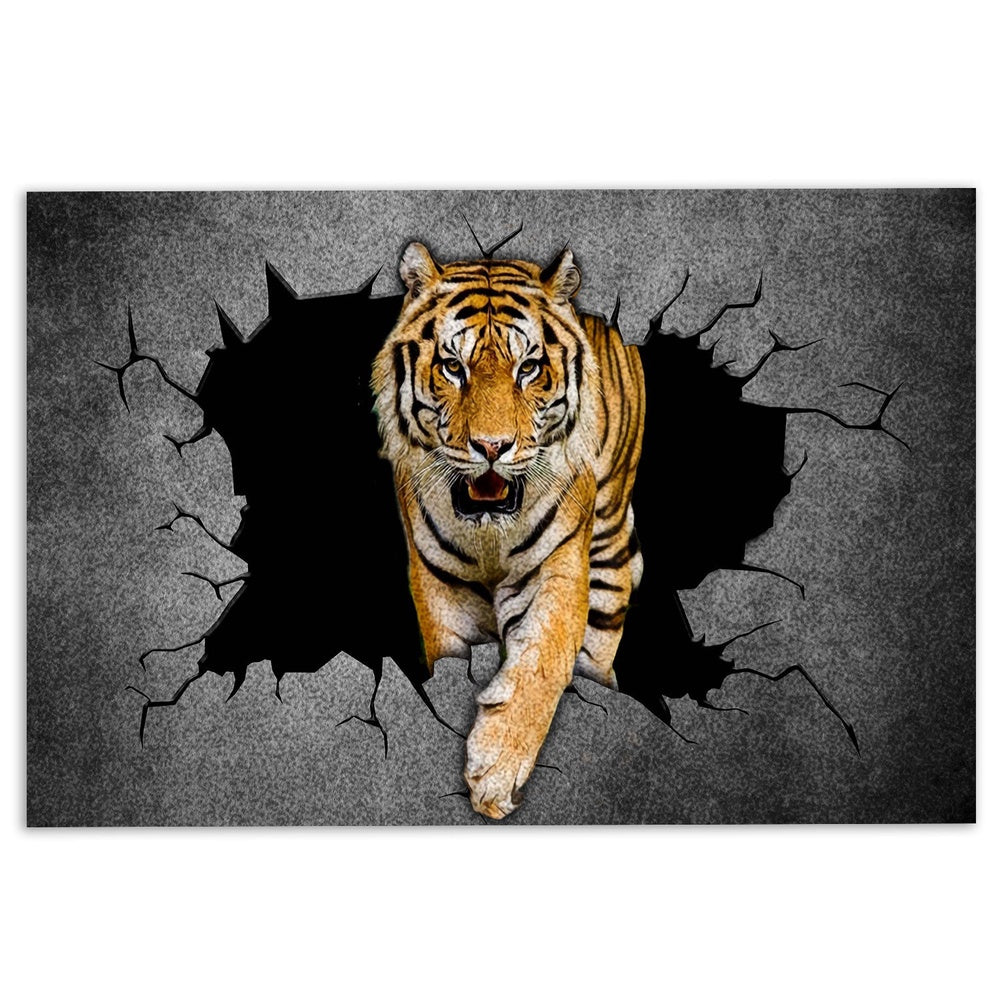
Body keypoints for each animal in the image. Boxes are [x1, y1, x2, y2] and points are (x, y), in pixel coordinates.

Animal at [372, 241, 645, 819]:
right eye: (453, 367)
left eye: (529, 368)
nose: (492, 447)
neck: (489, 534)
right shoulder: (442, 591)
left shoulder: (557, 569)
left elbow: (542, 663)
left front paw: (496, 772)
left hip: (609, 544)